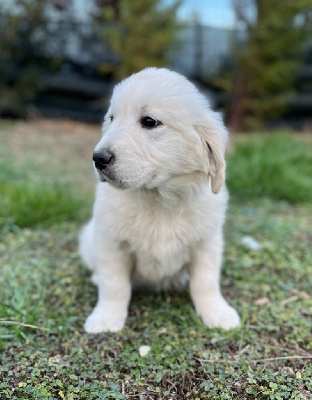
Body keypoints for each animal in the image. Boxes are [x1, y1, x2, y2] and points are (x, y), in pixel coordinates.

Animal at [79, 67, 240, 332]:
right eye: (111, 118)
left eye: (149, 122)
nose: (98, 158)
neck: (159, 197)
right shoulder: (111, 242)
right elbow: (114, 284)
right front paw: (106, 318)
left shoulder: (206, 243)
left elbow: (205, 281)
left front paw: (217, 312)